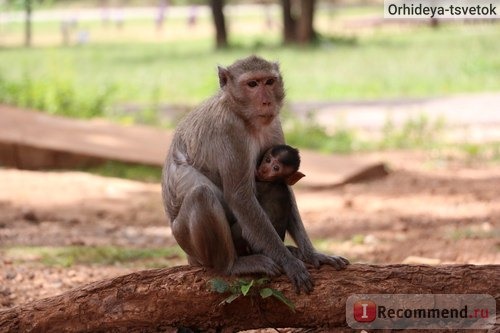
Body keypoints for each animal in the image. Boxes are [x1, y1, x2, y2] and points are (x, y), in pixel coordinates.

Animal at [163, 55, 348, 292]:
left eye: (269, 82)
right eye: (252, 84)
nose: (267, 101)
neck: (244, 116)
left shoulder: (274, 124)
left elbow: (286, 186)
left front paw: (312, 254)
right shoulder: (230, 131)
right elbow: (240, 196)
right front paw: (289, 262)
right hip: (189, 243)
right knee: (201, 195)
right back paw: (233, 265)